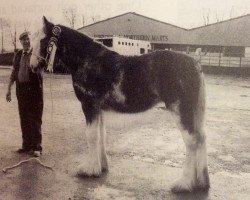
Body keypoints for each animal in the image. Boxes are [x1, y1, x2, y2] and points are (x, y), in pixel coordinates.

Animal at [29, 17, 209, 192]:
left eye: (43, 40)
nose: (32, 66)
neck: (88, 60)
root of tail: (194, 64)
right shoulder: (99, 109)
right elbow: (101, 135)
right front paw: (101, 167)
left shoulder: (89, 106)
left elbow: (91, 136)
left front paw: (88, 169)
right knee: (201, 138)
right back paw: (201, 183)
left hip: (180, 110)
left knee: (191, 141)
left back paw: (184, 184)